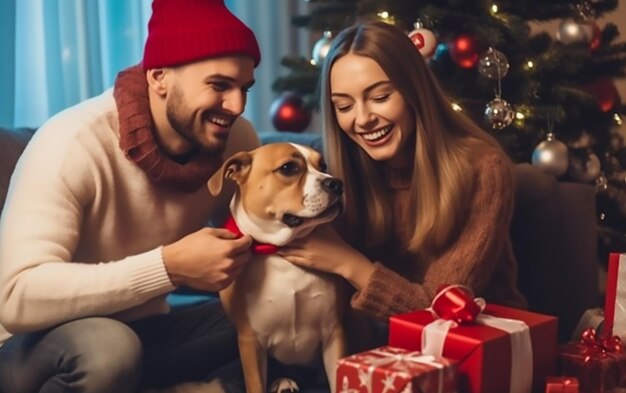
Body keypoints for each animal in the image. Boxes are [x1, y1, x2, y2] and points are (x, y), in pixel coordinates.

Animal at [207, 142, 348, 392]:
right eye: (288, 168)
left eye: (323, 165)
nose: (336, 183)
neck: (279, 252)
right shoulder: (250, 342)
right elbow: (255, 385)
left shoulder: (334, 332)